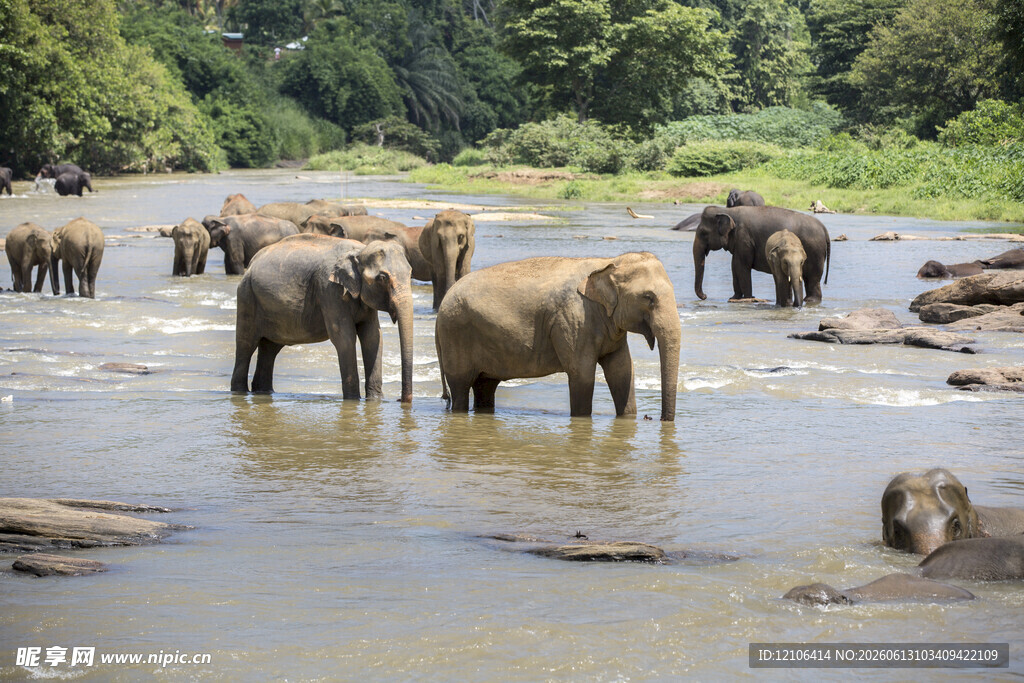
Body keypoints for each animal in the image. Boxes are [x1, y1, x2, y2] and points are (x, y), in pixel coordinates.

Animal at [231, 234, 413, 403]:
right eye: (382, 278)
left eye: (410, 273)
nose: (399, 400)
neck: (360, 250)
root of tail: (252, 263)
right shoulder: (329, 290)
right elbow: (344, 338)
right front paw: (353, 400)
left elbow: (373, 337)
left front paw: (375, 400)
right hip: (247, 296)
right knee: (246, 345)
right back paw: (239, 391)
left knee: (269, 348)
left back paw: (263, 391)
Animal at [434, 252, 681, 420]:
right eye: (648, 297)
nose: (655, 418)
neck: (608, 262)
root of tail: (441, 308)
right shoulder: (574, 320)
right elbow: (582, 374)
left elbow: (622, 372)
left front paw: (628, 417)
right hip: (455, 333)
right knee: (460, 387)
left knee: (485, 385)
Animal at [693, 206, 830, 303]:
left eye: (703, 233)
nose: (705, 296)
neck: (727, 210)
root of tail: (824, 229)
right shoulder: (739, 243)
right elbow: (734, 266)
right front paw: (734, 298)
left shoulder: (744, 238)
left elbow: (742, 266)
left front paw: (748, 298)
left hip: (815, 251)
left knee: (813, 277)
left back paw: (811, 300)